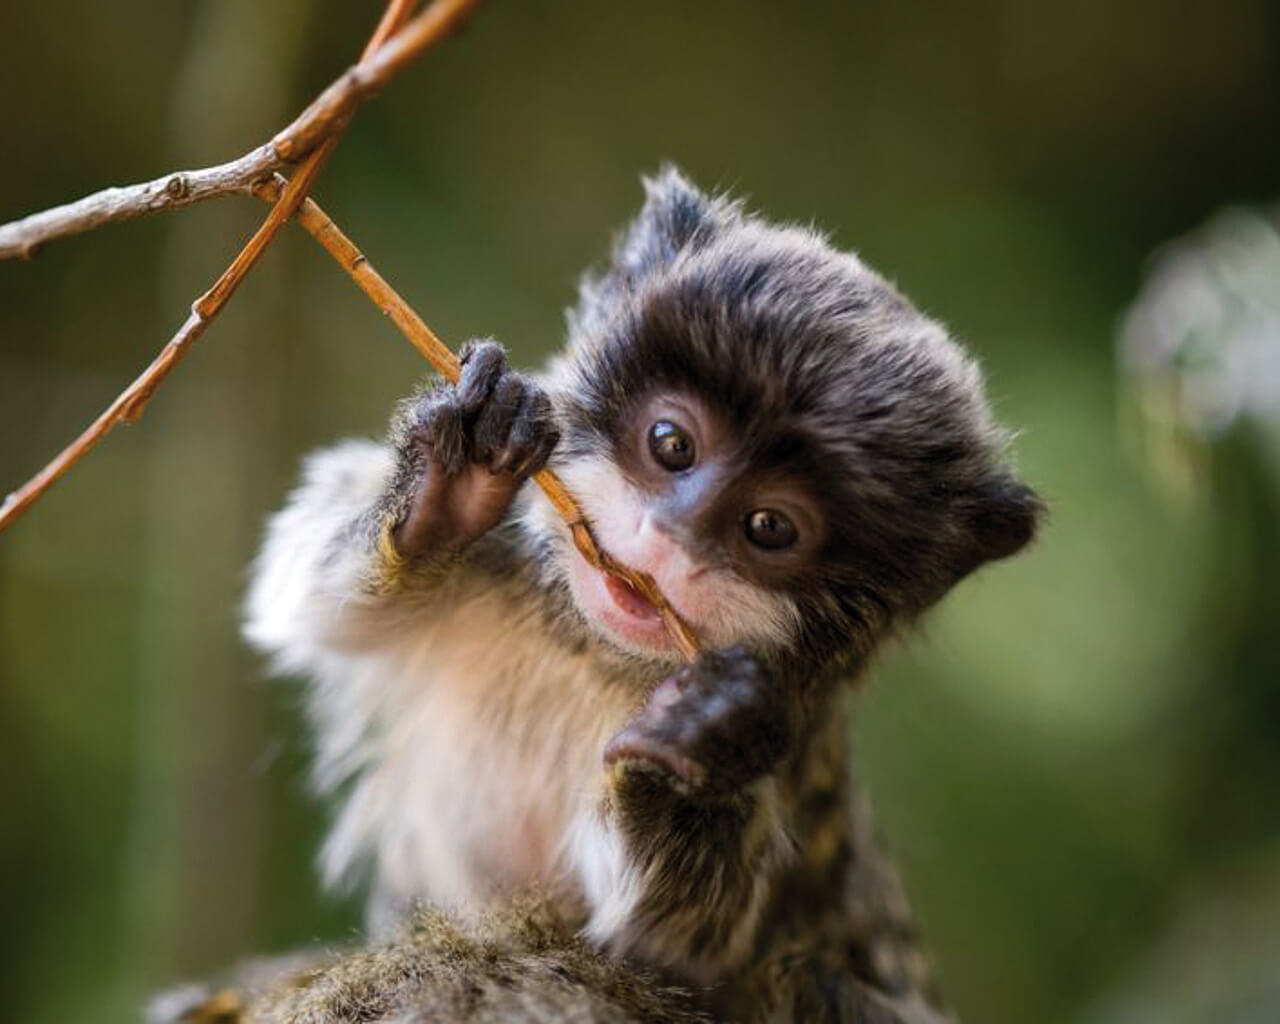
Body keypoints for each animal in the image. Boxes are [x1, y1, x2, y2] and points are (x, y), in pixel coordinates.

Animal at [239, 166, 1041, 1023]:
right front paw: (447, 491)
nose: (666, 536)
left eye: (768, 526)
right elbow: (303, 601)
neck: (589, 651)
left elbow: (674, 945)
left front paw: (708, 745)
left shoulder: (794, 748)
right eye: (672, 444)